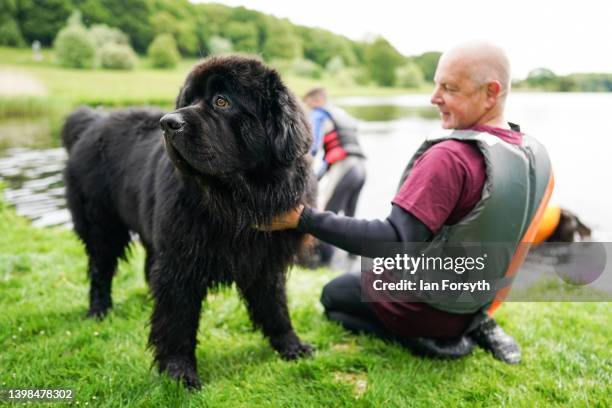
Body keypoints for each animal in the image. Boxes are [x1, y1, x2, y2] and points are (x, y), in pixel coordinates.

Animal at [62, 55, 316, 388]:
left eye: (221, 101)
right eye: (188, 100)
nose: (168, 123)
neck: (234, 203)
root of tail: (92, 121)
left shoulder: (264, 262)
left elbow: (275, 307)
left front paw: (290, 345)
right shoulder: (181, 264)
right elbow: (177, 321)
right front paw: (179, 372)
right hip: (102, 226)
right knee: (100, 270)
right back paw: (98, 311)